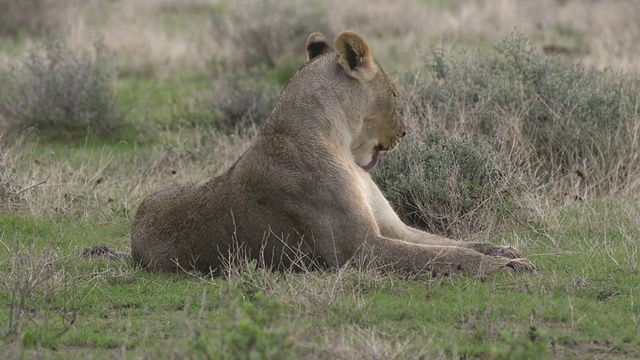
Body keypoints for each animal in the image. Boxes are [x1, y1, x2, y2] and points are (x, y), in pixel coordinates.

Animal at [129, 32, 536, 278]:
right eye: (395, 94)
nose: (404, 133)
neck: (340, 144)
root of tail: (134, 227)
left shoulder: (393, 229)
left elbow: (454, 242)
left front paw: (504, 250)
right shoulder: (359, 251)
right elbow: (445, 257)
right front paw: (509, 266)